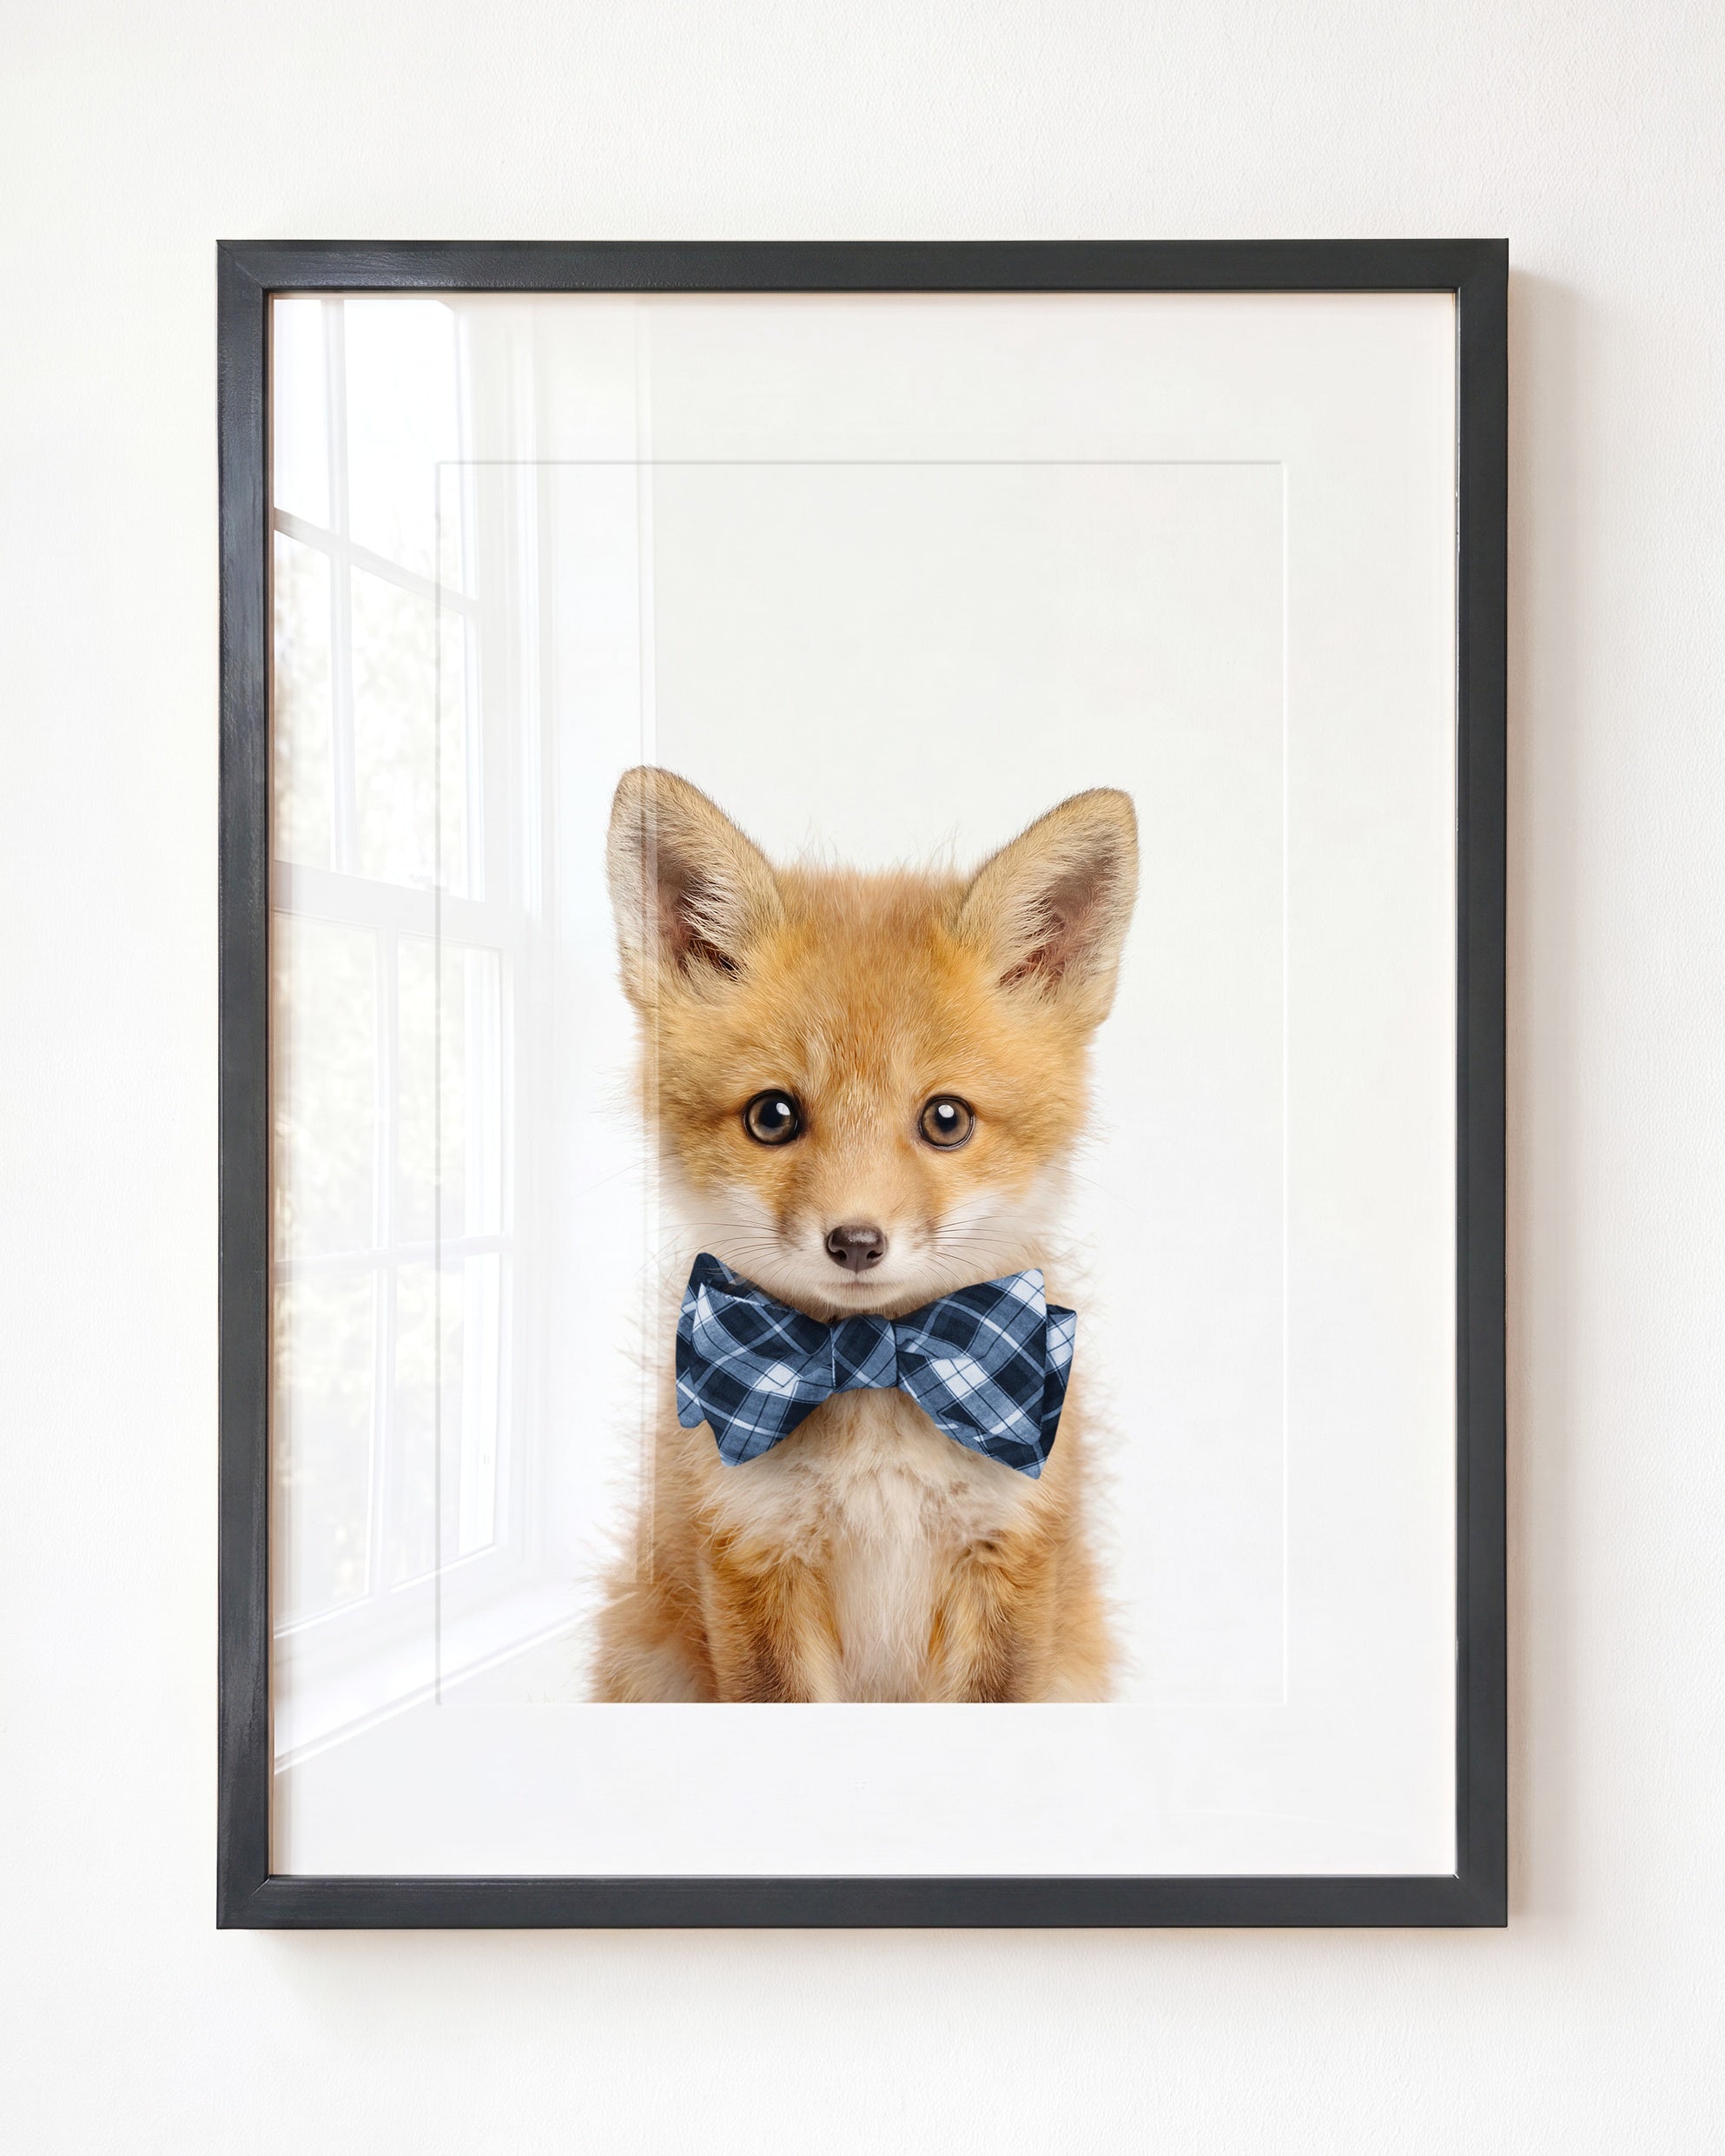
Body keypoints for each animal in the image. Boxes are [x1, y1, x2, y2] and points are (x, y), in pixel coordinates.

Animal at [590, 765, 1139, 1703]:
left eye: (946, 1120)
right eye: (772, 1116)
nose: (855, 1242)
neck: (875, 1370)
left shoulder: (1009, 1558)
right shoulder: (752, 1556)